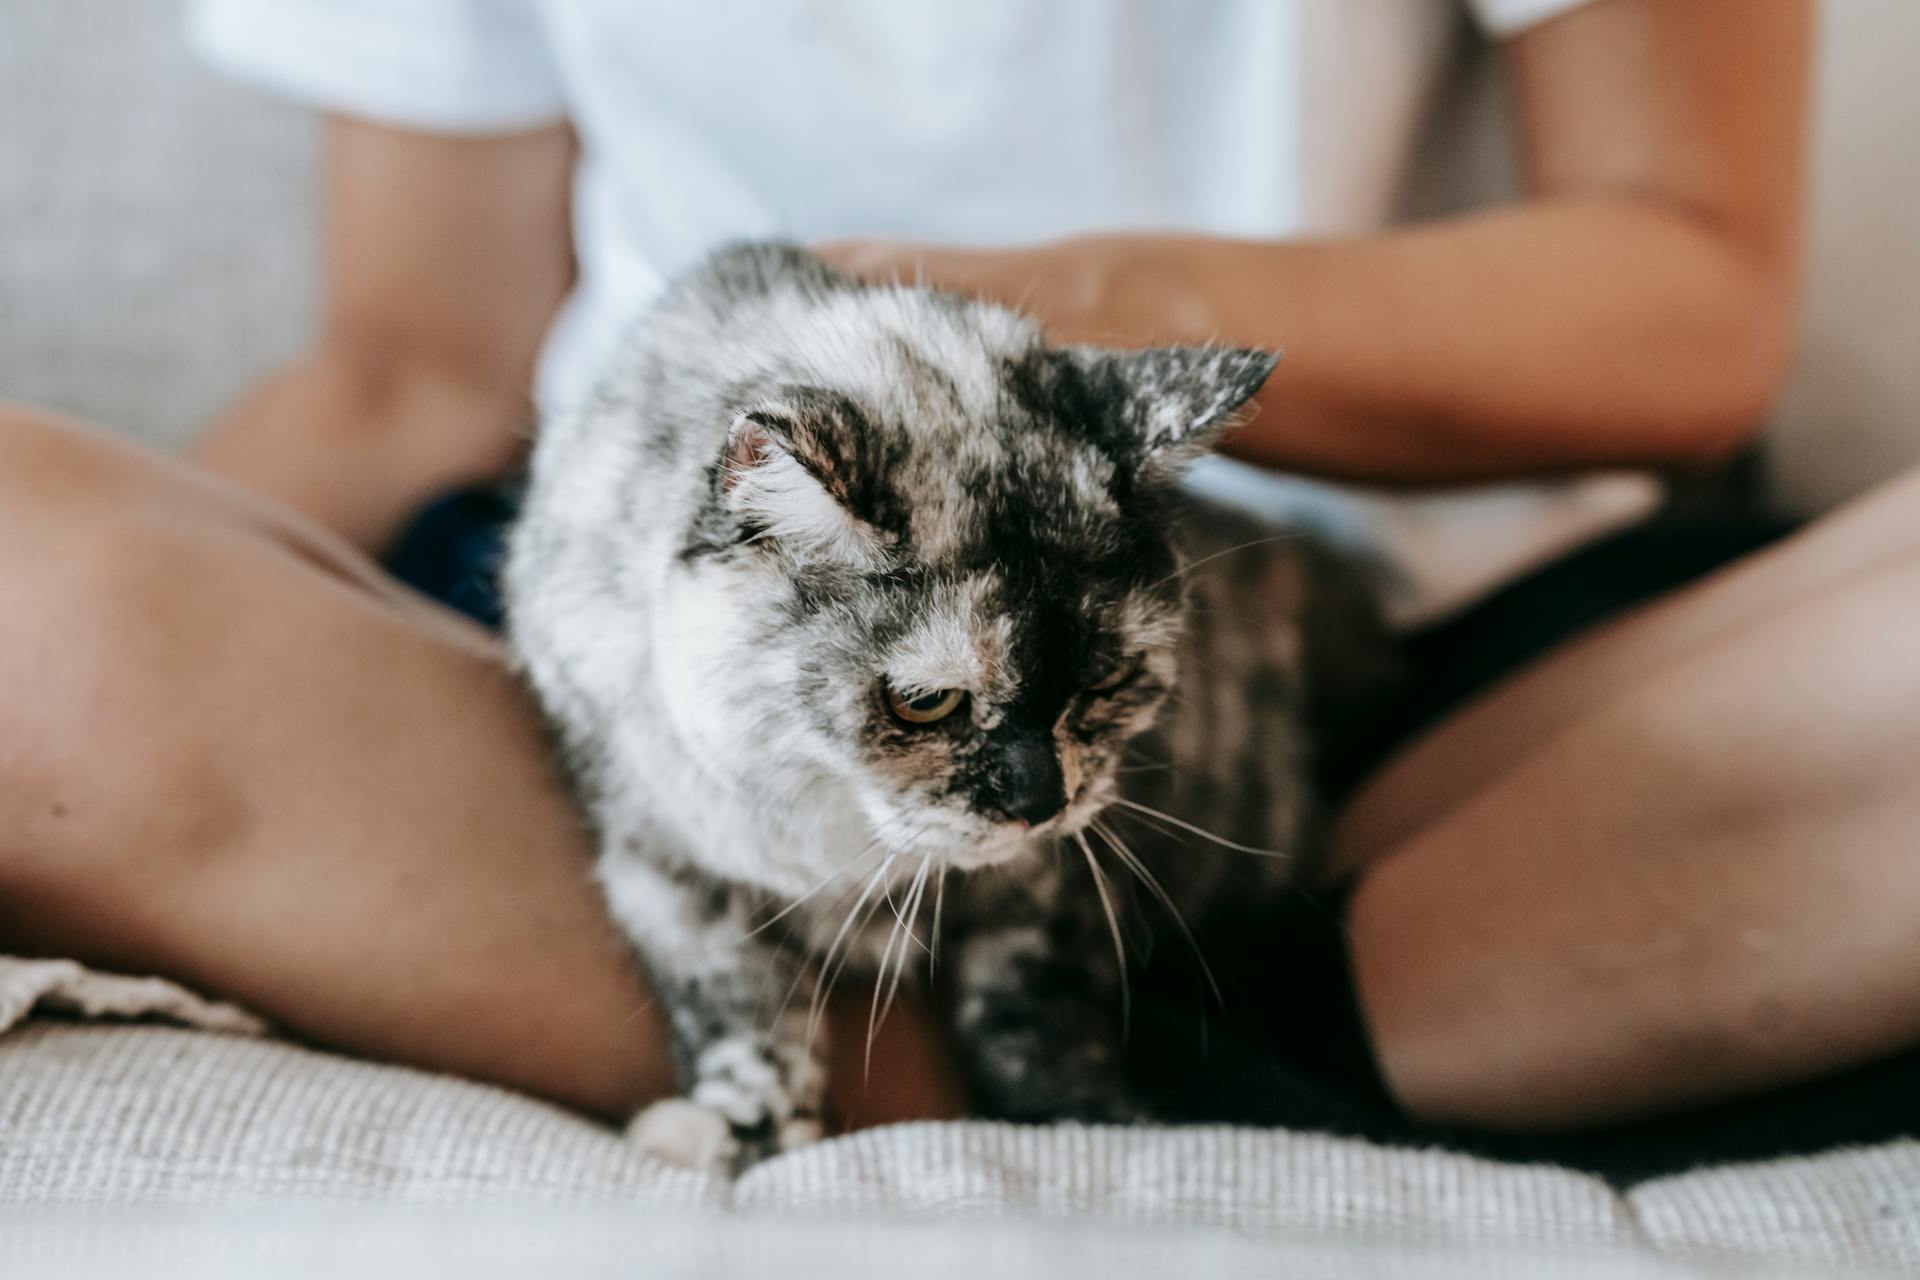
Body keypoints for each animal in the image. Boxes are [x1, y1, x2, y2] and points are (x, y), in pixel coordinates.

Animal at [503, 245, 1390, 1174]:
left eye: (1109, 680)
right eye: (925, 702)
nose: (1041, 803)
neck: (846, 840)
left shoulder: (1054, 886)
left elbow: (1032, 1017)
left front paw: (1097, 1123)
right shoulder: (667, 874)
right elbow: (745, 1016)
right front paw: (741, 1134)